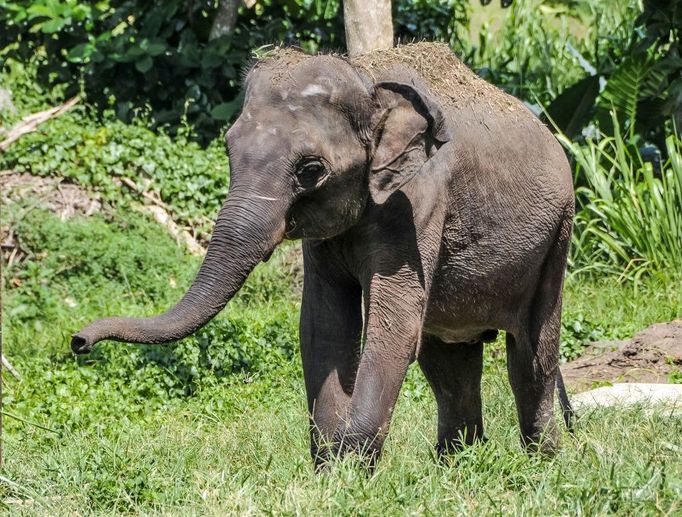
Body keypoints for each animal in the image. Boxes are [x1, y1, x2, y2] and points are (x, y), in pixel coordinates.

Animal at [71, 42, 572, 466]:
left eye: (310, 170)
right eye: (229, 149)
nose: (79, 341)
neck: (367, 77)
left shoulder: (419, 202)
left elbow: (393, 328)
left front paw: (349, 471)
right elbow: (324, 326)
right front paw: (332, 471)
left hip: (557, 235)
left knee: (531, 357)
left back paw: (540, 465)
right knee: (449, 363)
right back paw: (457, 466)